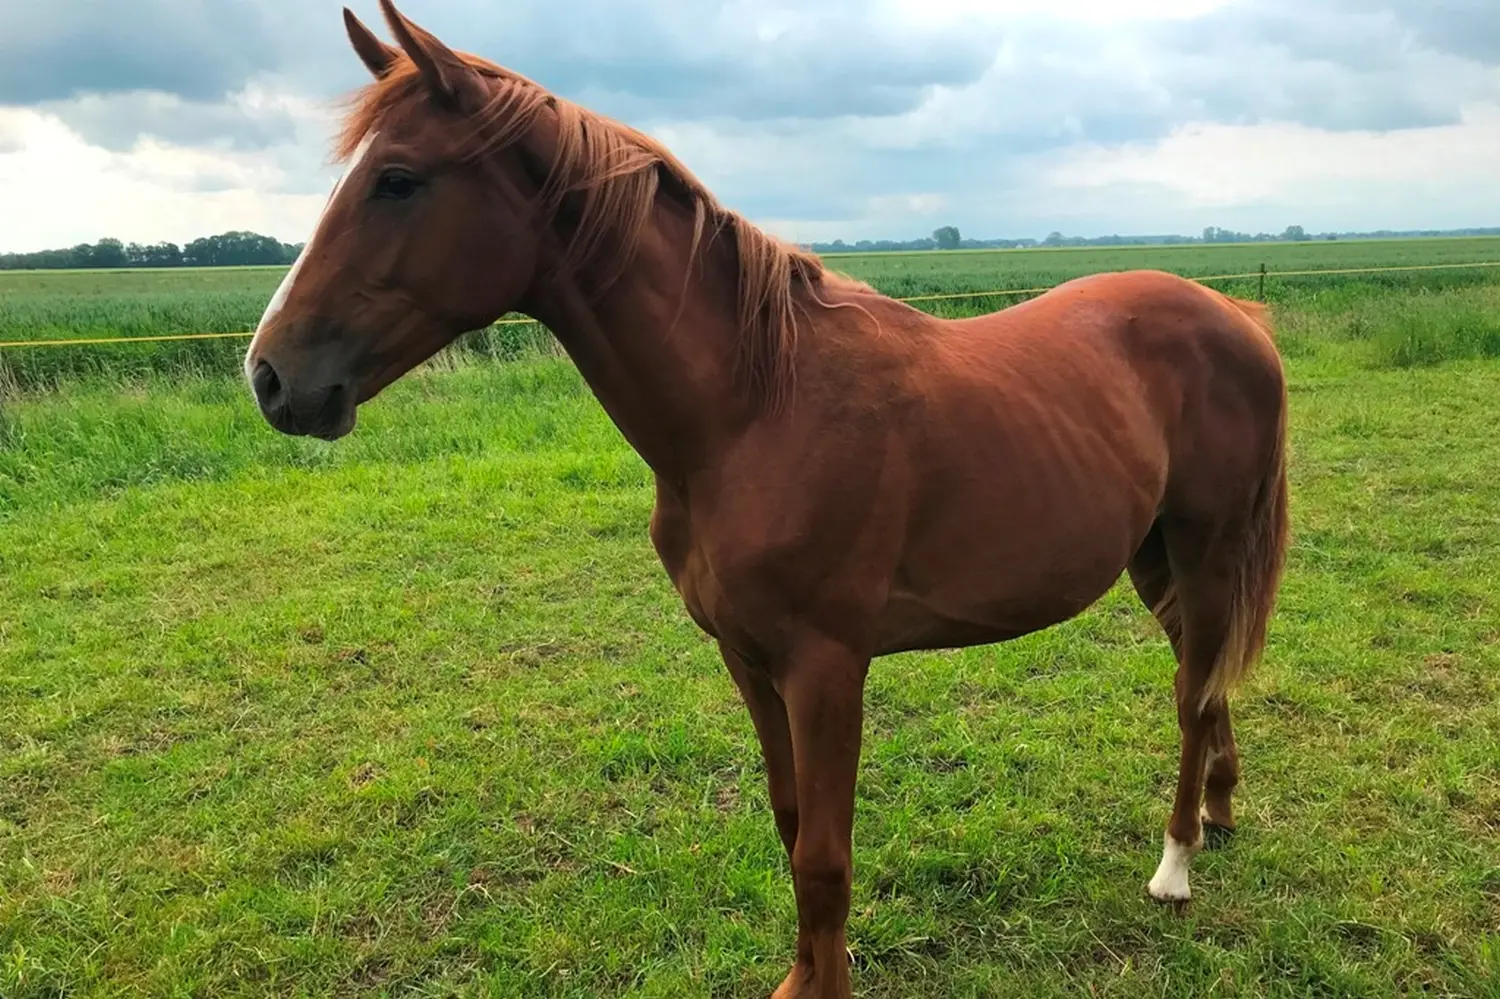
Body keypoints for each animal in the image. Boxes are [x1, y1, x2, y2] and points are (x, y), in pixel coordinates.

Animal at [244, 4, 1291, 996]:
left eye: (399, 180)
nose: (271, 376)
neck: (754, 409)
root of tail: (1237, 315)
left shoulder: (826, 668)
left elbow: (825, 857)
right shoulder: (747, 659)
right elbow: (791, 830)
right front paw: (802, 975)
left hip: (1205, 548)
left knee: (1195, 693)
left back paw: (1176, 863)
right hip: (1153, 556)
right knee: (1200, 676)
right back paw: (1220, 809)